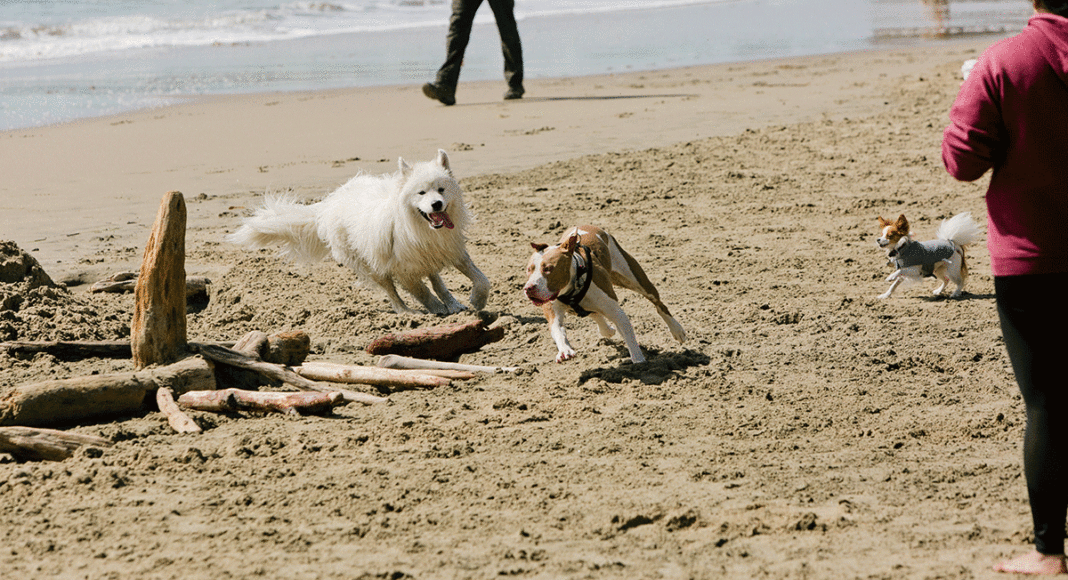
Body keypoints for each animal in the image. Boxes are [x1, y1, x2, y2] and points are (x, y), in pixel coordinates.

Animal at [231, 147, 489, 316]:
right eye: (421, 193)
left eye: (441, 189)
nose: (437, 204)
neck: (418, 226)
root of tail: (330, 204)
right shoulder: (403, 268)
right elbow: (422, 291)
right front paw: (436, 310)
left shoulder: (451, 250)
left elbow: (480, 279)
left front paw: (475, 301)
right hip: (371, 265)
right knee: (391, 291)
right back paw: (406, 312)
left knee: (435, 279)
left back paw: (452, 304)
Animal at [523, 225, 683, 363]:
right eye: (529, 269)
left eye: (548, 268)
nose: (528, 288)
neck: (573, 285)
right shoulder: (553, 312)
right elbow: (558, 331)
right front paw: (565, 351)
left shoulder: (615, 311)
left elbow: (629, 335)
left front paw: (639, 362)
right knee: (595, 314)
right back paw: (607, 330)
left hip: (635, 279)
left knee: (658, 304)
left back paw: (677, 330)